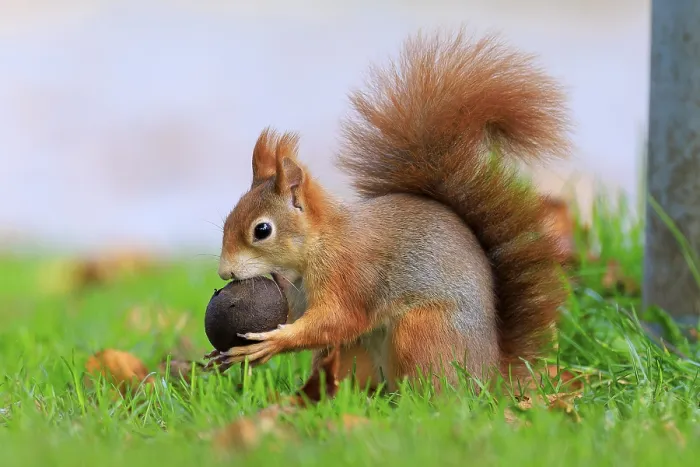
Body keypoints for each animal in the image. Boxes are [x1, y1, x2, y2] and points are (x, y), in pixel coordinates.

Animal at [210, 28, 571, 396]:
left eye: (262, 230)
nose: (224, 273)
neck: (321, 242)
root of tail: (490, 376)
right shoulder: (299, 292)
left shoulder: (350, 274)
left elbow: (339, 319)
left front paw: (270, 343)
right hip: (358, 352)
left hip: (421, 330)